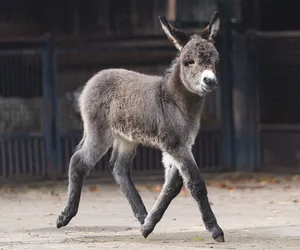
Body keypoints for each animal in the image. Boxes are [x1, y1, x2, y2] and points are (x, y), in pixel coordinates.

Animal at [56, 11, 225, 242]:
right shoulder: (175, 145)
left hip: (126, 137)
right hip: (100, 131)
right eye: (189, 61)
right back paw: (65, 216)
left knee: (118, 167)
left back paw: (142, 216)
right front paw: (215, 229)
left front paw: (149, 225)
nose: (210, 81)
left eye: (215, 60)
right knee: (79, 161)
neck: (173, 99)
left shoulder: (179, 146)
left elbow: (173, 186)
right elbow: (196, 184)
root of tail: (93, 79)